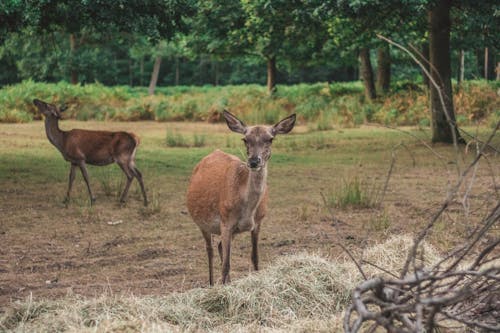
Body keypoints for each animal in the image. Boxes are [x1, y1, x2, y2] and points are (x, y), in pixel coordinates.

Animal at [188, 110, 296, 284]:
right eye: (245, 139)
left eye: (270, 139)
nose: (253, 161)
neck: (248, 210)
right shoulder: (225, 222)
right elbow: (226, 266)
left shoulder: (258, 223)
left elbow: (255, 258)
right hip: (202, 223)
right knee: (209, 250)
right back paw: (211, 283)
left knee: (219, 247)